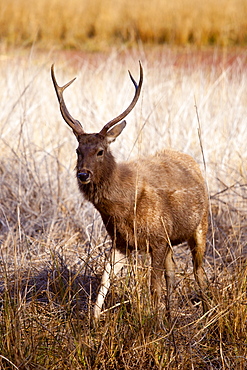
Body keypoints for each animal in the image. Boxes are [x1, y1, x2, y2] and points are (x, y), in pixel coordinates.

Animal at [51, 62, 208, 320]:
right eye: (77, 150)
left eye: (100, 151)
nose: (83, 174)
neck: (123, 207)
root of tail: (192, 163)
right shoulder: (121, 240)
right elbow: (105, 280)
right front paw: (93, 321)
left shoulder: (157, 237)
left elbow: (153, 286)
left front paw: (154, 322)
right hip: (172, 239)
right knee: (172, 272)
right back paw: (170, 315)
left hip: (201, 225)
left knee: (199, 271)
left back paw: (205, 311)